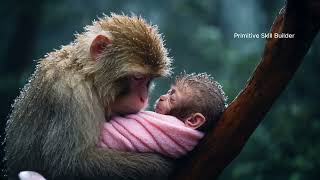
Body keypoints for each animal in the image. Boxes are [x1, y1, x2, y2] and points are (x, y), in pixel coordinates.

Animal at [4, 14, 172, 180]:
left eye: (149, 79)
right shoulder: (73, 94)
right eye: (137, 77)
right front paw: (162, 165)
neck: (85, 72)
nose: (144, 98)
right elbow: (70, 162)